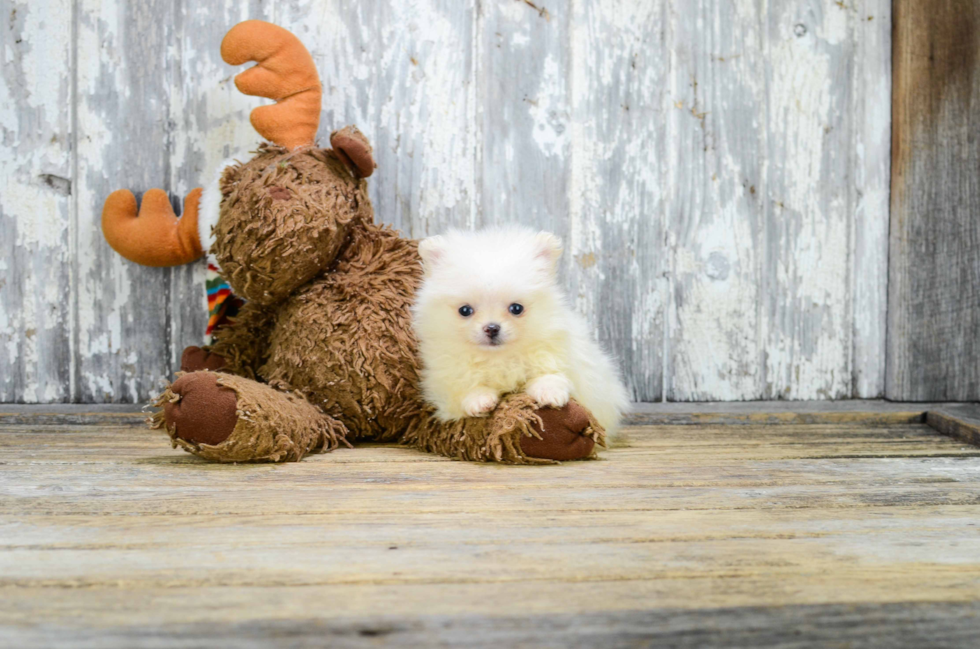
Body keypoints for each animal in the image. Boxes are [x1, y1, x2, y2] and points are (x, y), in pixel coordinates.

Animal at [412, 227, 628, 436]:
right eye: (465, 310)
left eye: (516, 308)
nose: (492, 328)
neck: (498, 358)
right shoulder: (444, 380)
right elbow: (465, 387)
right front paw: (479, 399)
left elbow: (550, 374)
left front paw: (549, 392)